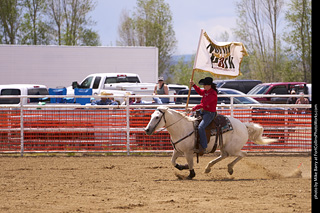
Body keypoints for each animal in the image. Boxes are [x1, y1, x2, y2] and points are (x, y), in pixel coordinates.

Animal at [144, 106, 276, 180]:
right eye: (151, 116)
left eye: (157, 117)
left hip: (233, 148)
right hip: (224, 146)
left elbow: (190, 164)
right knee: (224, 155)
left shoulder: (188, 152)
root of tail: (243, 125)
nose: (147, 130)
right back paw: (209, 167)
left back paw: (230, 168)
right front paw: (182, 167)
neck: (182, 128)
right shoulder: (177, 150)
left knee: (243, 154)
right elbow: (172, 162)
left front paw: (190, 174)